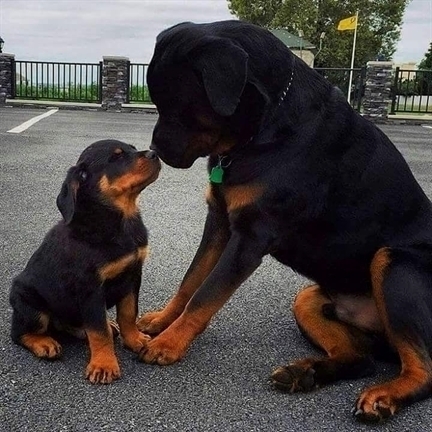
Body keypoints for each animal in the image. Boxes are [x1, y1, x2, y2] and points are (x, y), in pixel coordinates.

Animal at [11, 139, 161, 384]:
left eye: (132, 148)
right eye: (116, 157)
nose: (155, 154)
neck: (118, 222)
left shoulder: (132, 275)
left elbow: (128, 313)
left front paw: (134, 339)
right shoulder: (90, 287)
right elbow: (99, 331)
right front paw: (104, 365)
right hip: (30, 304)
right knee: (19, 332)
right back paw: (44, 343)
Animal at [137, 20, 432, 422]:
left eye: (183, 107)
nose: (156, 151)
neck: (264, 128)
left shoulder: (251, 236)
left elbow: (205, 294)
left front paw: (169, 343)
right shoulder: (219, 221)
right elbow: (191, 280)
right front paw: (163, 321)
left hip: (393, 263)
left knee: (424, 369)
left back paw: (384, 395)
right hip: (307, 299)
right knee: (361, 359)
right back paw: (304, 374)